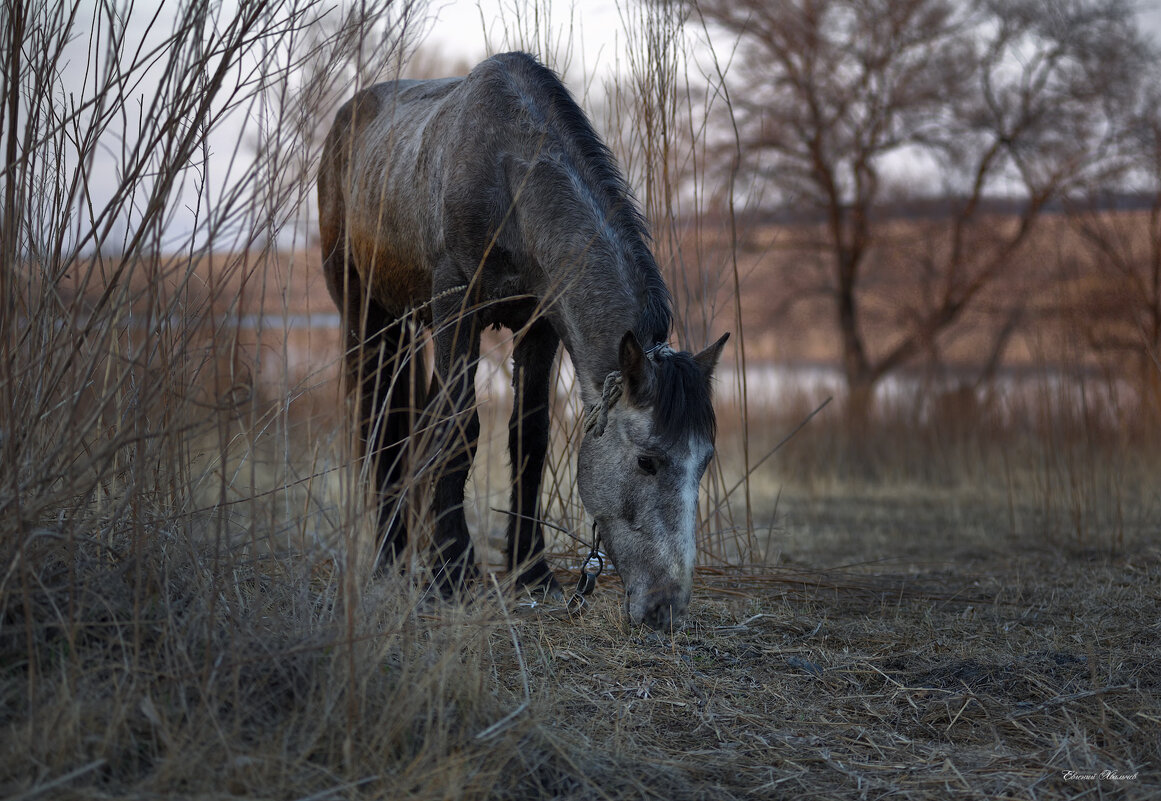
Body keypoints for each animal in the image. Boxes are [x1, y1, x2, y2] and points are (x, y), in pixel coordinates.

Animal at [318, 53, 724, 631]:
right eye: (647, 461)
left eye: (705, 460)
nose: (665, 609)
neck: (512, 179)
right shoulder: (456, 309)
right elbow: (459, 431)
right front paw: (450, 575)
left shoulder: (540, 326)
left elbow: (528, 437)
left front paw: (532, 571)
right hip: (367, 317)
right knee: (378, 426)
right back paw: (390, 561)